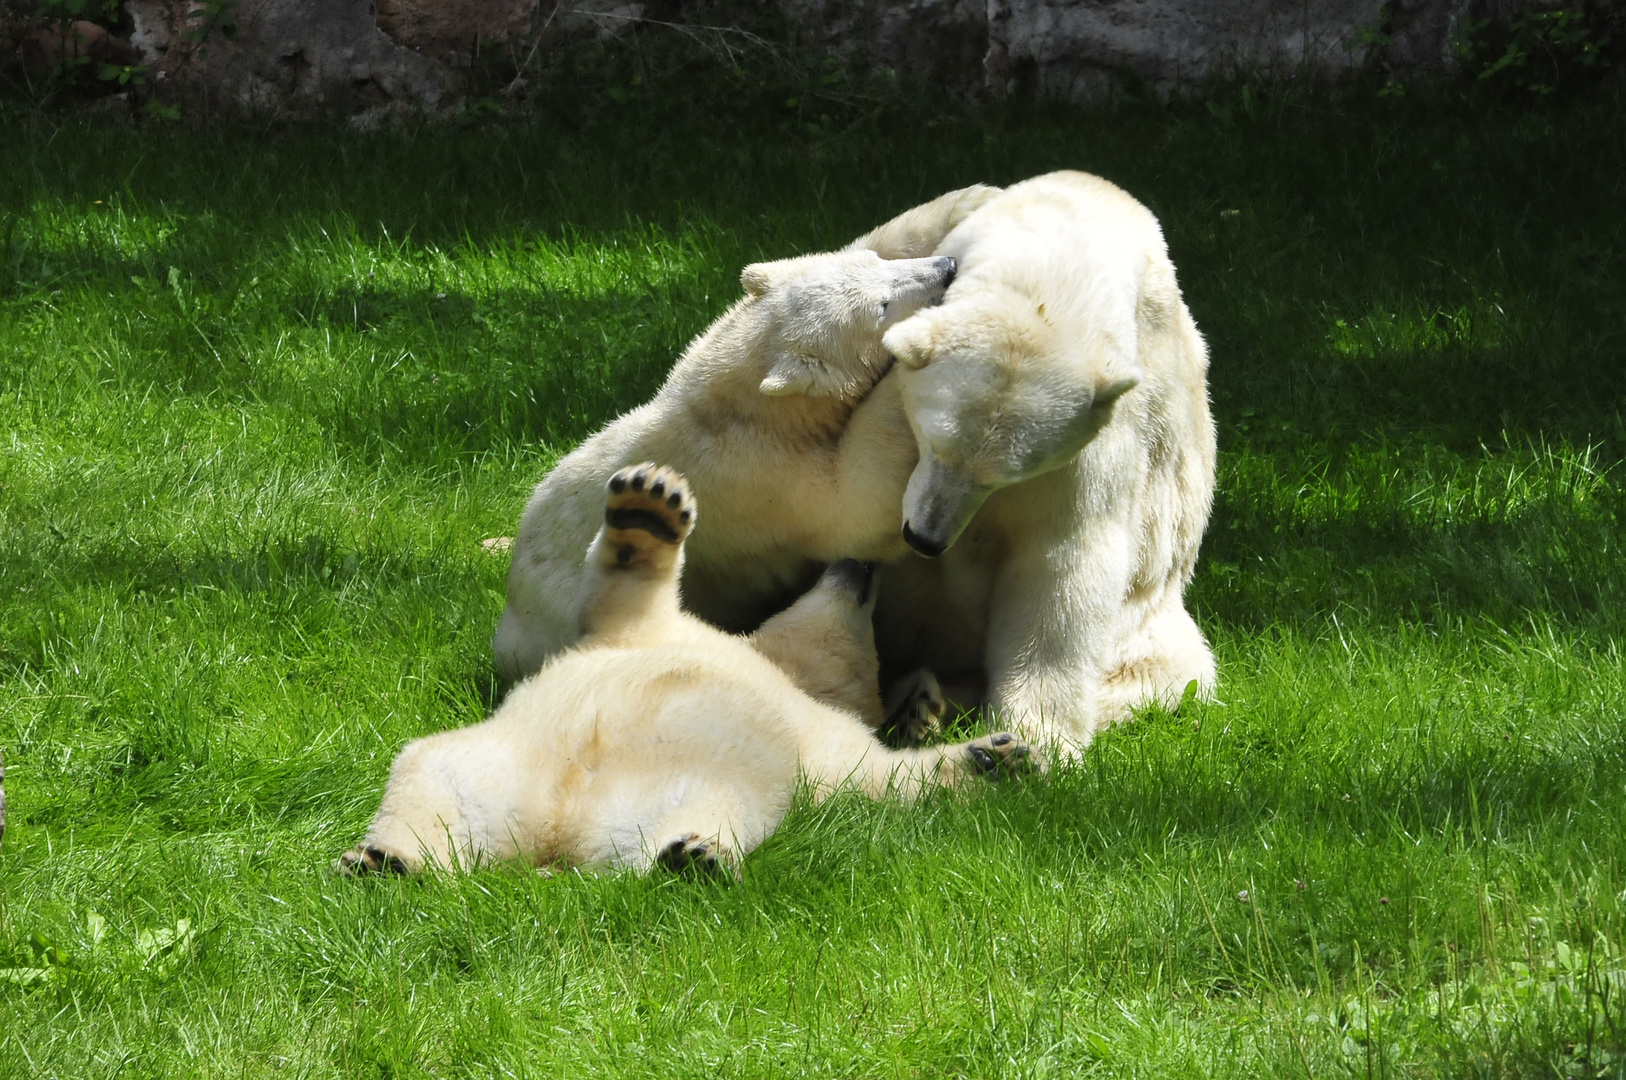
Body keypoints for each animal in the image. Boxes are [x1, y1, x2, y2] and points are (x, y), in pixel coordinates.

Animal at [339, 461, 1040, 878]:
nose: (859, 562)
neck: (773, 668)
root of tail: (554, 844)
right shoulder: (656, 636)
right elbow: (621, 601)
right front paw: (648, 506)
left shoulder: (819, 741)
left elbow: (880, 780)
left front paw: (995, 755)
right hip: (492, 767)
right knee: (429, 786)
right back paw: (384, 858)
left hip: (686, 786)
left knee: (713, 806)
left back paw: (695, 854)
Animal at [494, 183, 1001, 692]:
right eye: (882, 307)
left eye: (879, 264)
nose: (946, 268)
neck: (742, 401)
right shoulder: (761, 477)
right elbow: (856, 503)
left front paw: (971, 199)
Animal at [871, 170, 1216, 757]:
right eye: (932, 442)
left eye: (1002, 478)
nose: (925, 539)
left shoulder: (1100, 437)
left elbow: (1061, 559)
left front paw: (1035, 739)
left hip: (1149, 634)